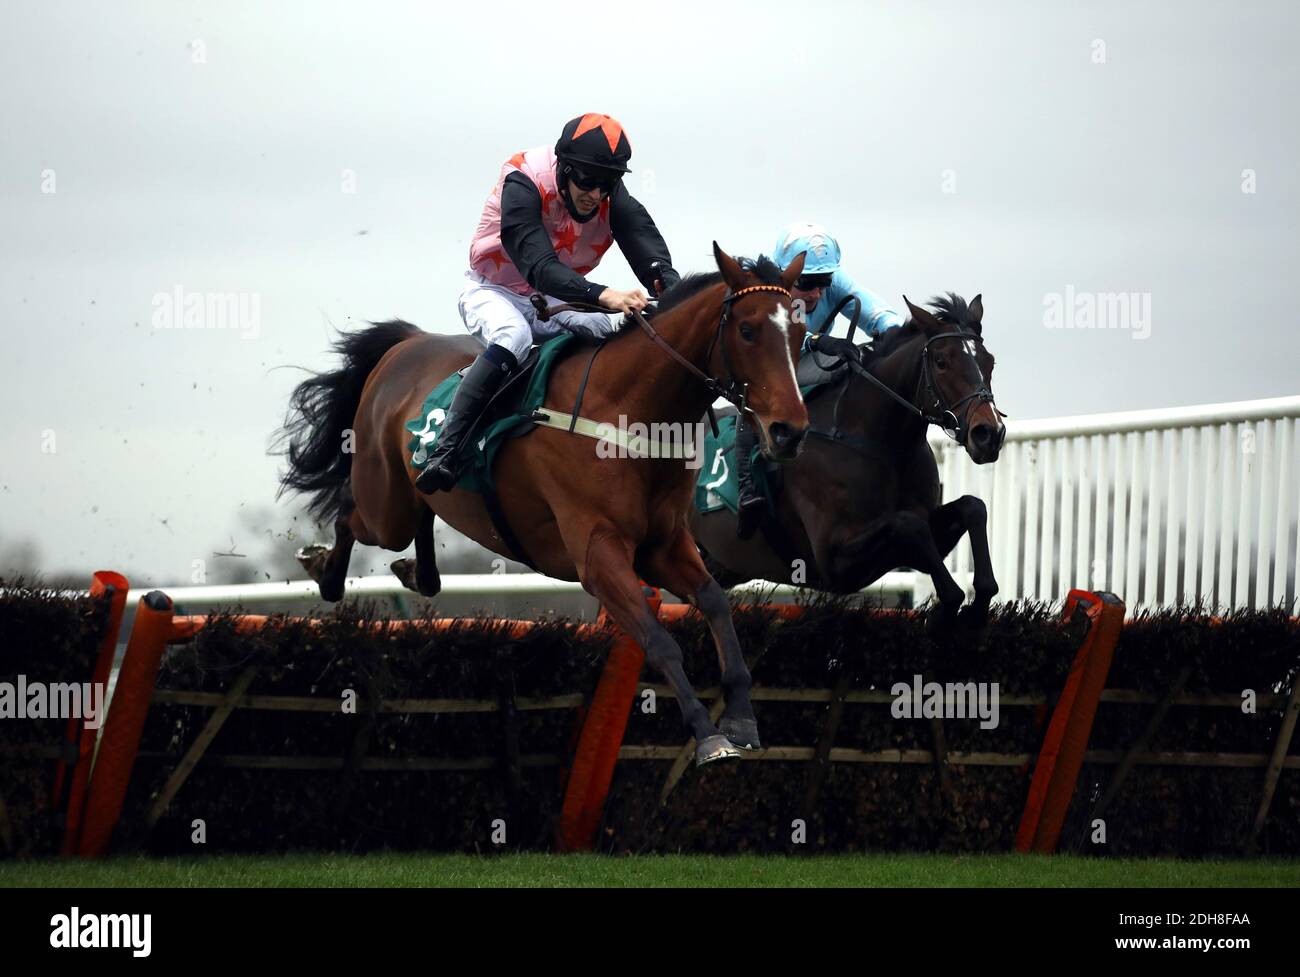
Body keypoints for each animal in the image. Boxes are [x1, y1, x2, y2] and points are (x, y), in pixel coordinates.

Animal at [279, 244, 806, 763]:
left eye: (801, 332)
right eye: (747, 330)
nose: (789, 432)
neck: (627, 409)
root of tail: (407, 343)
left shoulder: (665, 544)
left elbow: (716, 603)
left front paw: (741, 719)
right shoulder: (597, 553)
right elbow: (658, 641)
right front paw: (708, 736)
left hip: (411, 498)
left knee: (421, 519)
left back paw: (416, 571)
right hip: (385, 507)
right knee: (352, 519)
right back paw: (322, 567)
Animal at [691, 293, 1003, 636]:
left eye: (989, 361)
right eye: (942, 361)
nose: (988, 434)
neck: (883, 445)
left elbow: (973, 507)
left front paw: (977, 608)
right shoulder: (833, 560)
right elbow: (909, 524)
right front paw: (946, 610)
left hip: (722, 564)